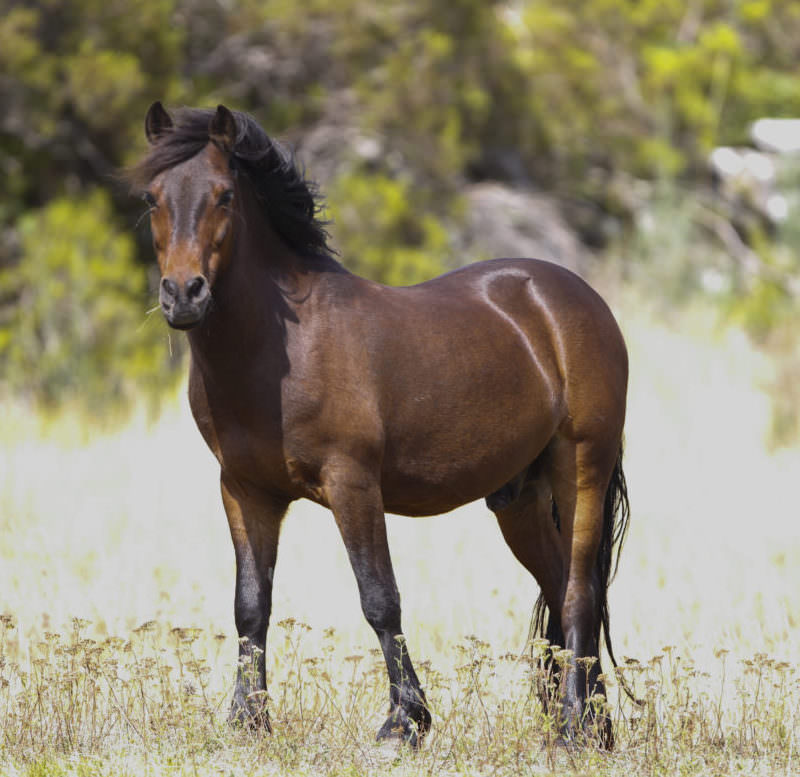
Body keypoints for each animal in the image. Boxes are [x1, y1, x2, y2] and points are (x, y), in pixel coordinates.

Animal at [126, 101, 632, 744]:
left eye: (224, 196)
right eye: (152, 197)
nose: (183, 295)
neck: (281, 352)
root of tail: (573, 296)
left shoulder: (353, 485)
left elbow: (379, 598)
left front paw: (405, 720)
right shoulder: (244, 491)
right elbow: (251, 604)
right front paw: (248, 719)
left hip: (582, 467)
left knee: (577, 594)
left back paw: (571, 726)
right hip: (518, 498)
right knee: (559, 585)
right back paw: (595, 725)